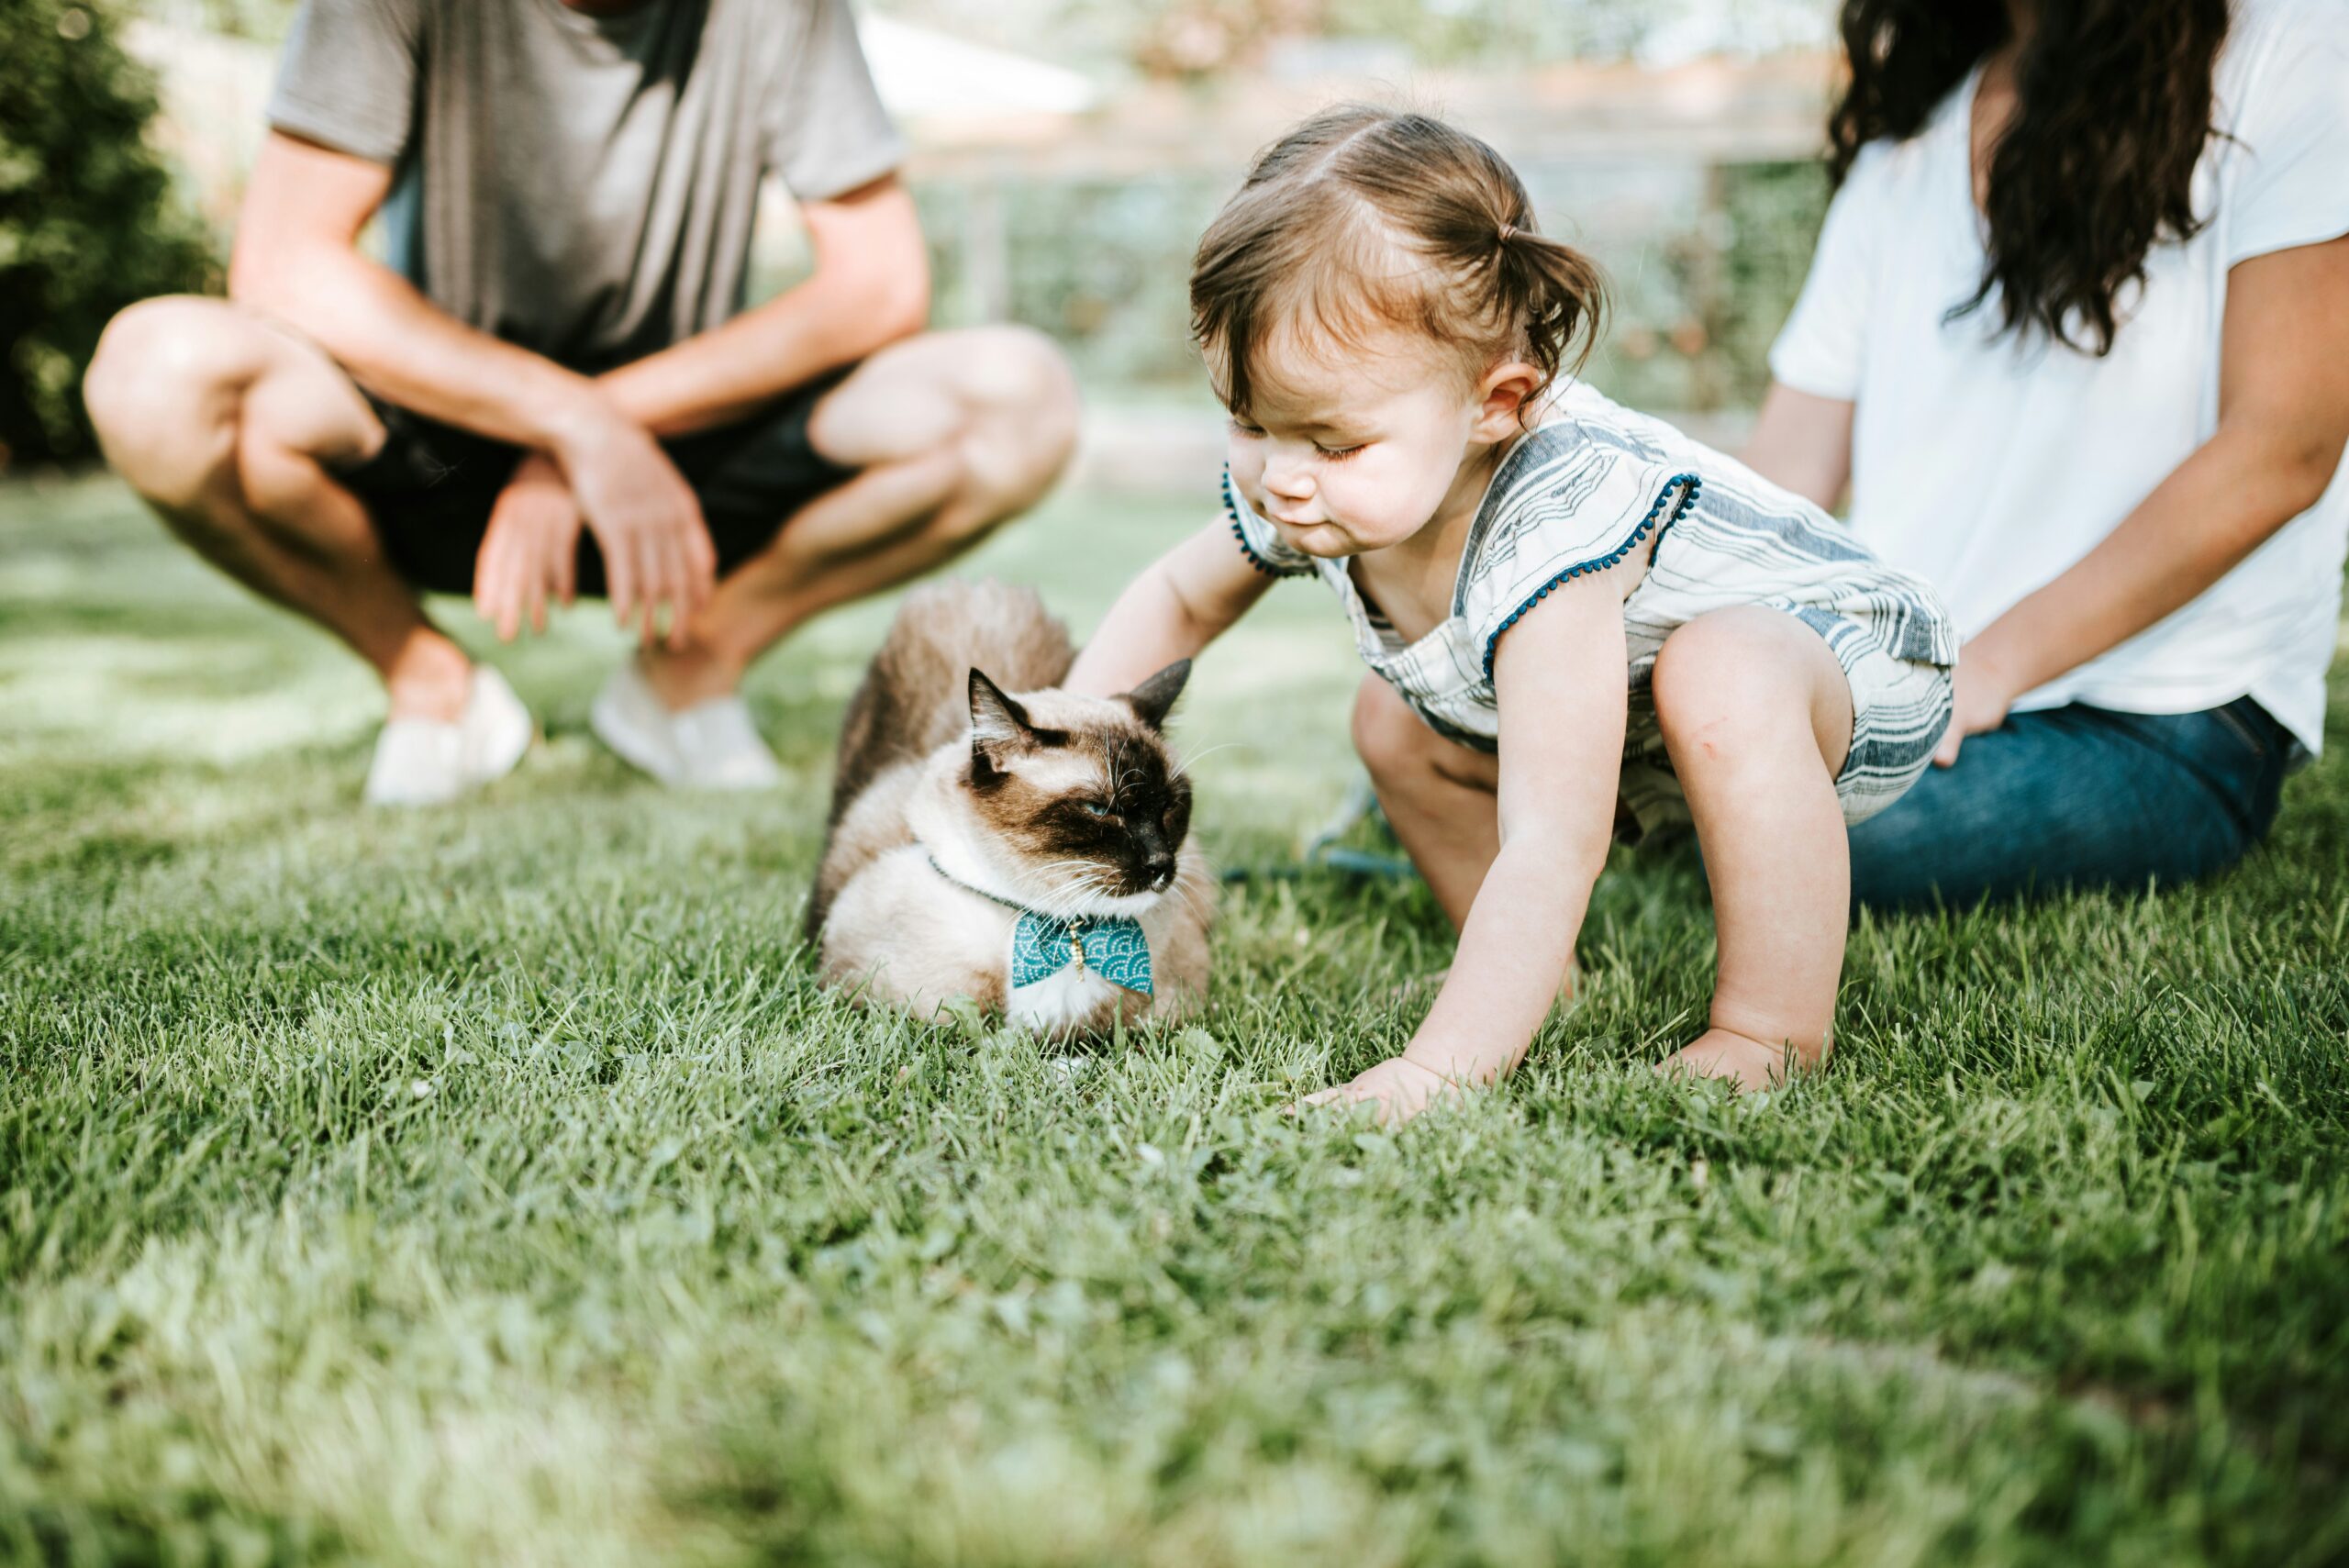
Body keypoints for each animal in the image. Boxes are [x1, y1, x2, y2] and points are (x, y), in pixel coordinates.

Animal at [807, 582, 1211, 1032]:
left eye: (1171, 805)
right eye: (1099, 809)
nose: (1161, 863)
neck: (1065, 934)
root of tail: (975, 588)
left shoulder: (1171, 1014)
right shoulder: (894, 1008)